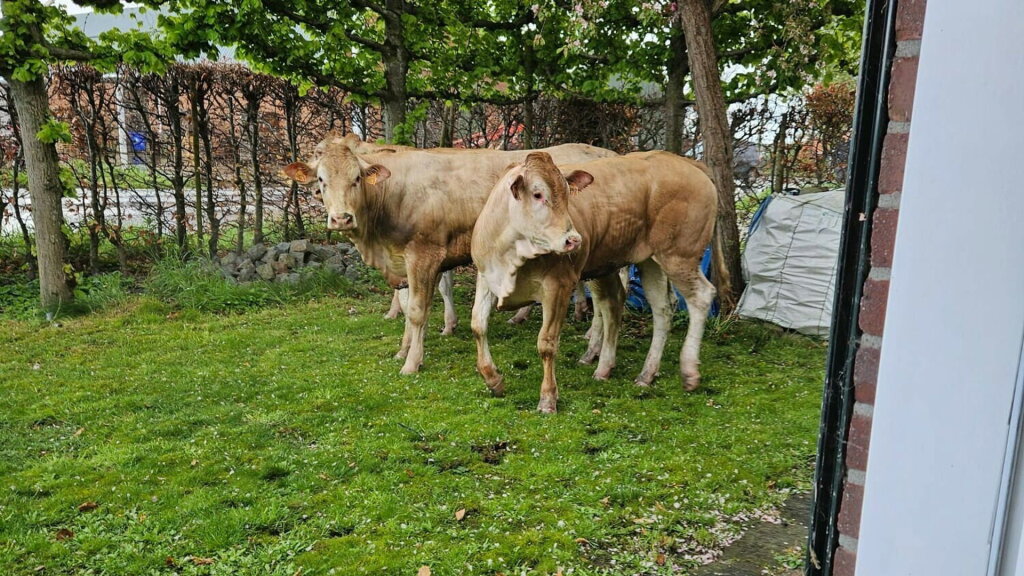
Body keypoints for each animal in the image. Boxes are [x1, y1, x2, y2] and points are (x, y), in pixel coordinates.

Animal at [283, 136, 618, 375]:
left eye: (356, 178)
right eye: (322, 180)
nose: (341, 218)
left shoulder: (424, 254)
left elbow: (417, 310)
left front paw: (412, 362)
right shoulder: (407, 262)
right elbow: (411, 303)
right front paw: (405, 348)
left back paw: (593, 347)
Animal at [470, 150, 722, 413]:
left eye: (568, 195)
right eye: (537, 194)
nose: (573, 240)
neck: (511, 251)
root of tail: (686, 162)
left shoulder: (558, 286)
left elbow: (547, 343)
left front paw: (548, 398)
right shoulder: (486, 276)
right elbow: (478, 326)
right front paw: (493, 379)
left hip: (678, 256)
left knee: (700, 296)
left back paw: (689, 371)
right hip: (649, 261)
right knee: (659, 309)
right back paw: (643, 373)